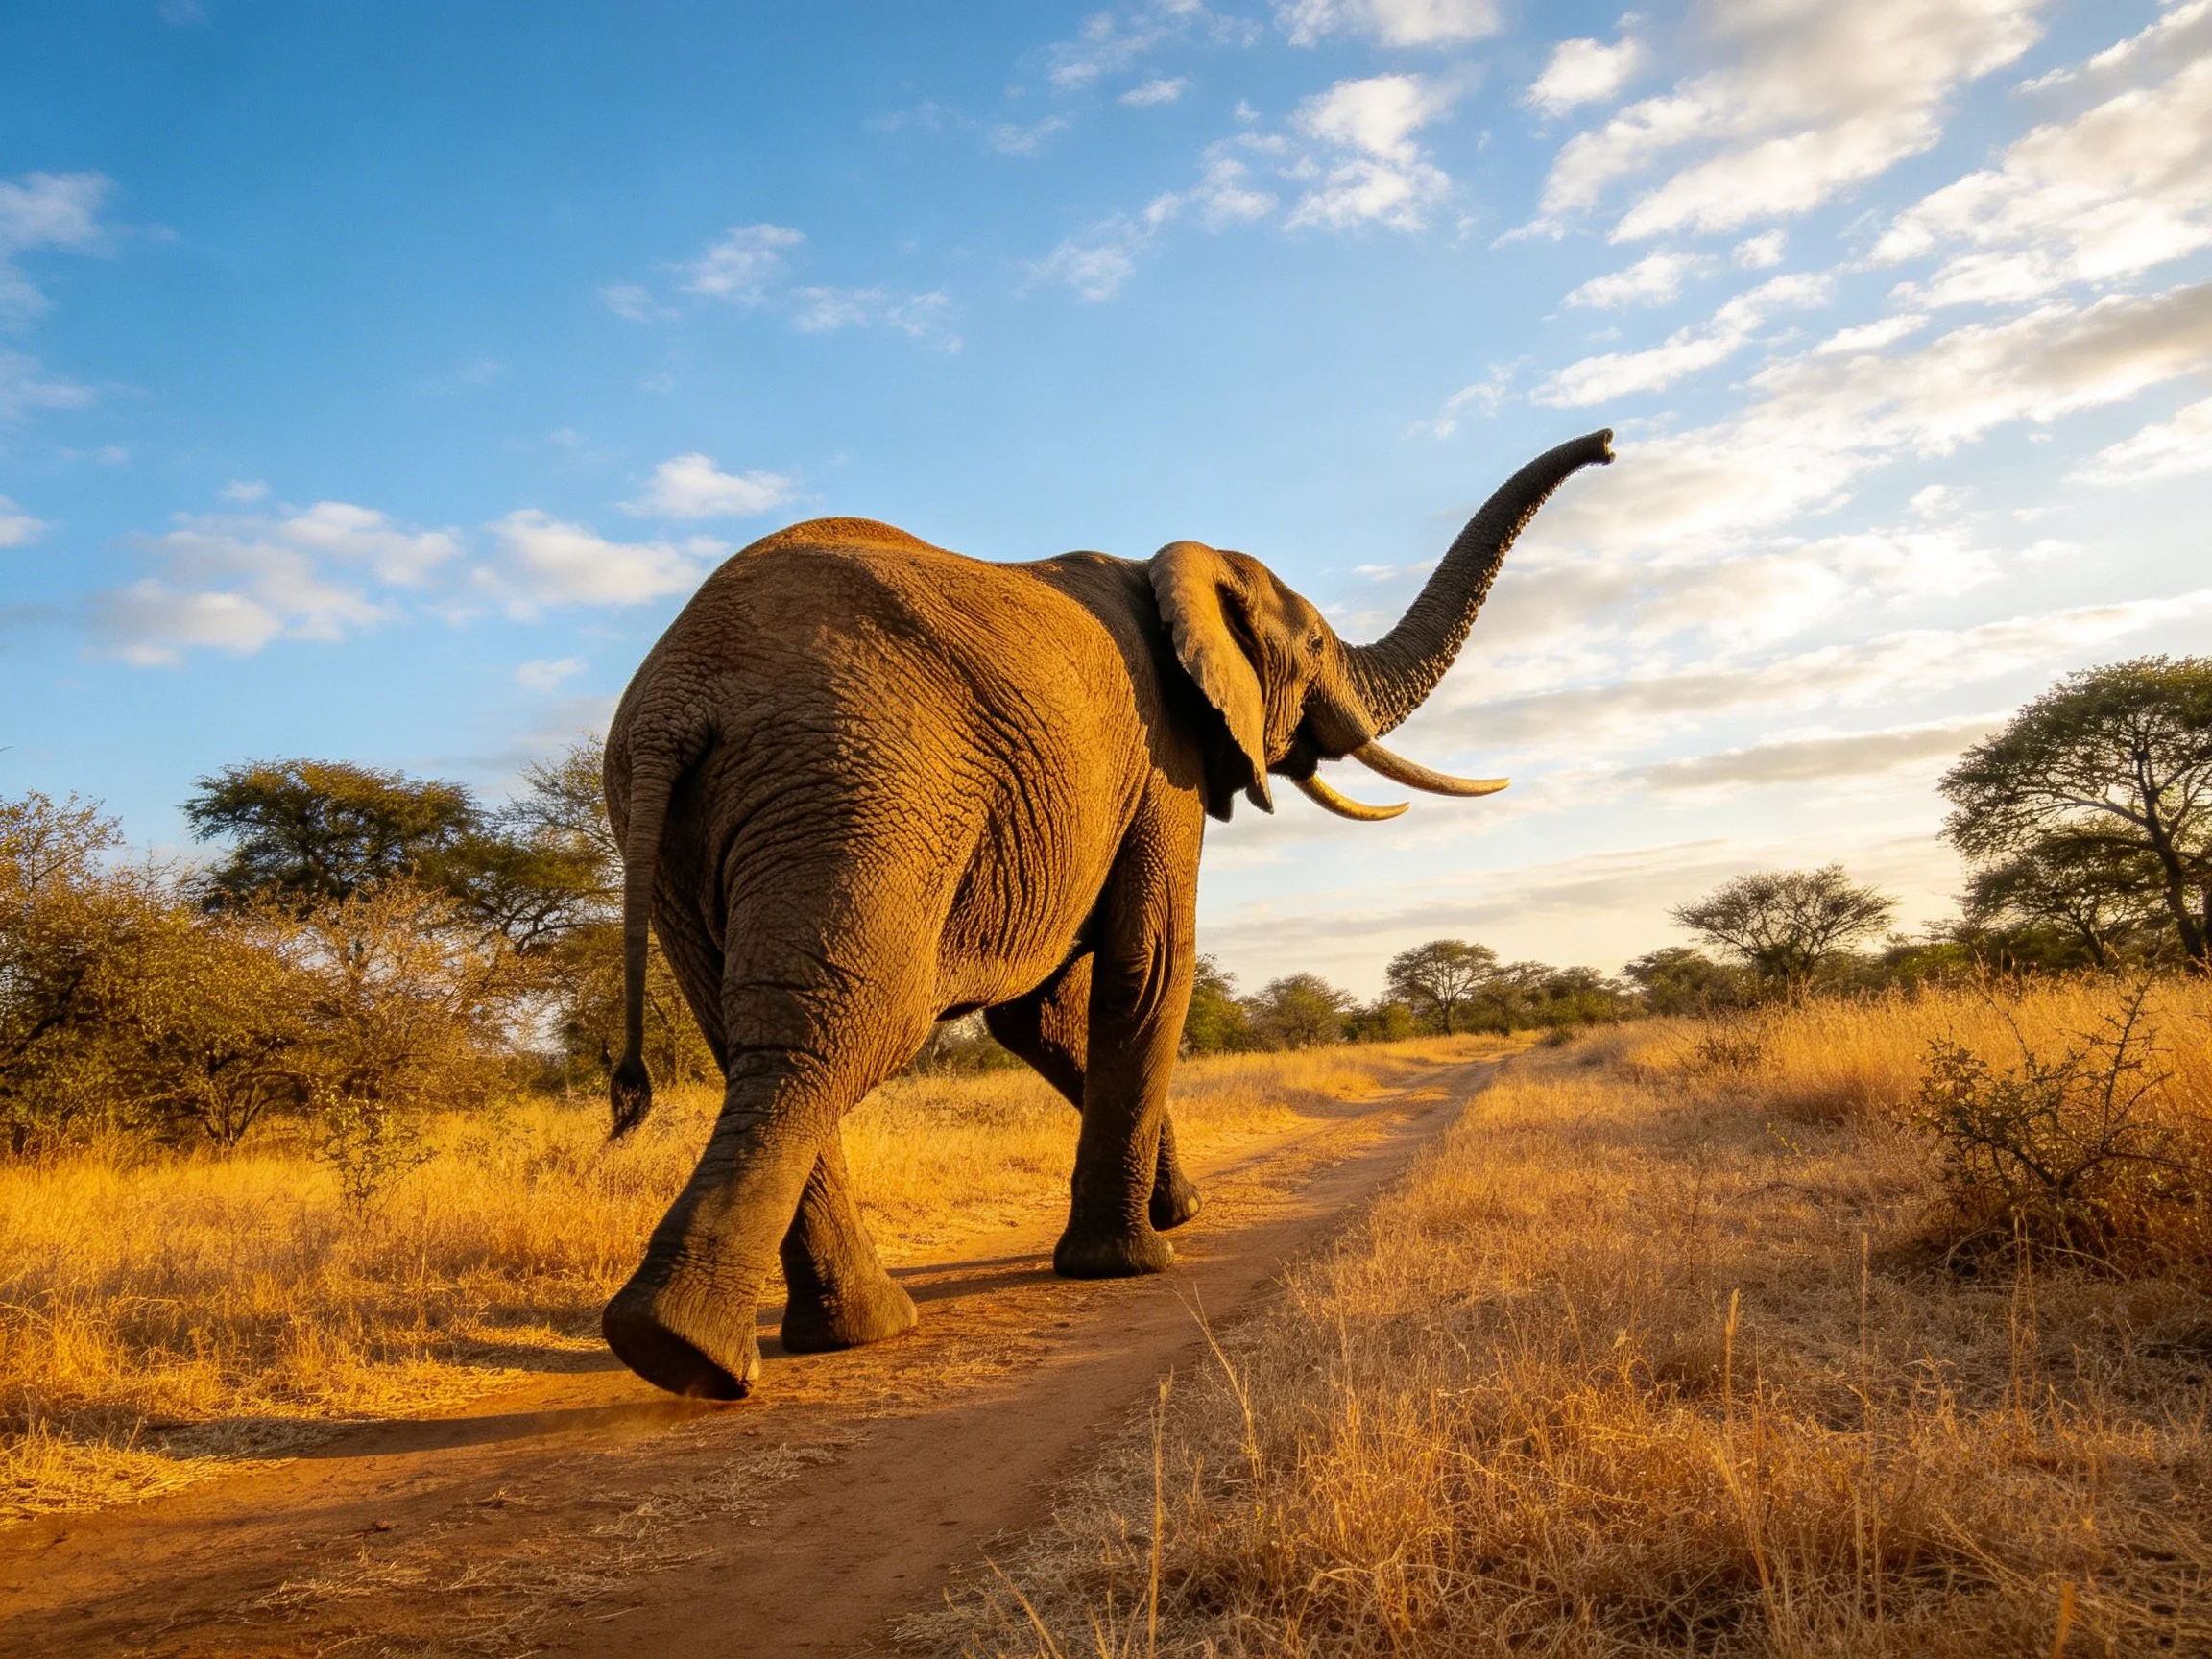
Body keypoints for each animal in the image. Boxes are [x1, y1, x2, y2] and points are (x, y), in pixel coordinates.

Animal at [598, 429, 1614, 1399]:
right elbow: (1154, 962)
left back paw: (840, 1332)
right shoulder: (1163, 756)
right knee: (844, 1027)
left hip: (700, 833)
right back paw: (685, 1351)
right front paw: (1130, 1263)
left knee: (749, 1036)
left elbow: (1042, 1017)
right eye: (1321, 649)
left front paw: (1181, 1210)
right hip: (862, 784)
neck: (1171, 567)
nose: (1607, 446)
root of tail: (676, 698)